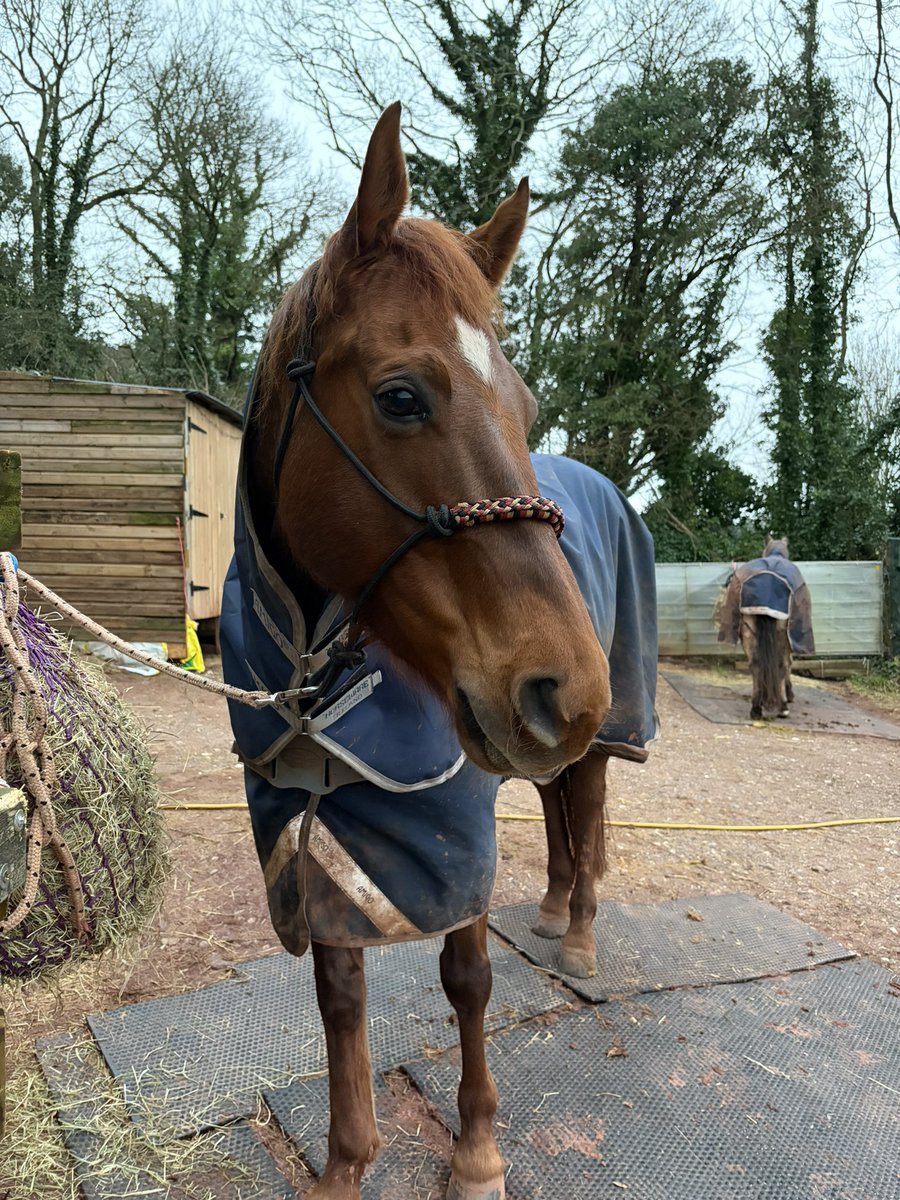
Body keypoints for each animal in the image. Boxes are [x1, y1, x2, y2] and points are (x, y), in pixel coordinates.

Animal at [221, 103, 656, 1200]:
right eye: (402, 396)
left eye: (525, 406)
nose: (566, 687)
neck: (317, 668)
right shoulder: (313, 828)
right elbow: (339, 995)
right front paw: (345, 1165)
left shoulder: (453, 824)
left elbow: (467, 977)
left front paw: (477, 1152)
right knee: (557, 812)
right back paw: (550, 906)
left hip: (598, 737)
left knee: (586, 807)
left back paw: (577, 937)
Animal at [717, 537, 815, 720]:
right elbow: (788, 664)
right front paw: (789, 694)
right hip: (782, 635)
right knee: (781, 665)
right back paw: (782, 707)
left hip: (748, 631)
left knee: (756, 664)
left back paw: (756, 707)